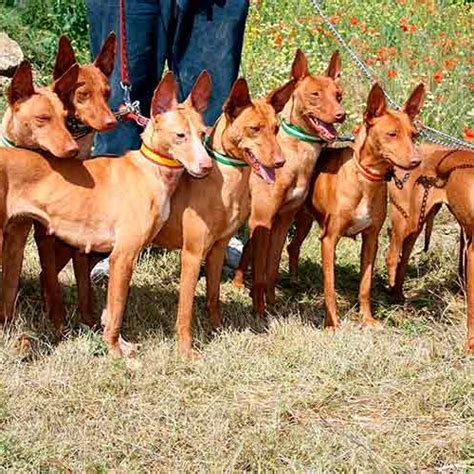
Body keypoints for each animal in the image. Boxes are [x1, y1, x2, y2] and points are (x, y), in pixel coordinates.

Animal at [0, 72, 211, 356]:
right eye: (180, 135)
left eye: (203, 134)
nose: (207, 166)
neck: (149, 172)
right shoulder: (122, 257)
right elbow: (117, 311)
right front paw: (115, 352)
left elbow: (110, 311)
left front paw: (119, 345)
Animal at [232, 49, 346, 314]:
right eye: (315, 95)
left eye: (338, 95)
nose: (341, 115)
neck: (296, 155)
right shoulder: (264, 219)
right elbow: (261, 273)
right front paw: (259, 308)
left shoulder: (282, 220)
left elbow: (272, 268)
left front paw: (273, 303)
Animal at [286, 82, 426, 330]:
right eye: (391, 134)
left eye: (414, 135)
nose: (416, 161)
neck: (366, 179)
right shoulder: (329, 239)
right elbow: (329, 288)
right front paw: (332, 324)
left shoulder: (371, 240)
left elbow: (365, 286)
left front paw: (367, 319)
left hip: (305, 220)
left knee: (293, 247)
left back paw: (294, 280)